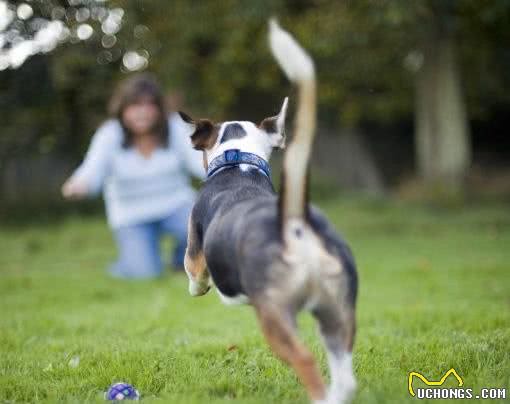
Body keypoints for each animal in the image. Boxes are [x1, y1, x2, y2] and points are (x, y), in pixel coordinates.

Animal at [179, 19, 358, 404]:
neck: (238, 163)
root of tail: (294, 223)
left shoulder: (195, 252)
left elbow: (195, 275)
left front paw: (200, 288)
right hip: (338, 313)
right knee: (345, 373)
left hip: (275, 316)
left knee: (305, 360)